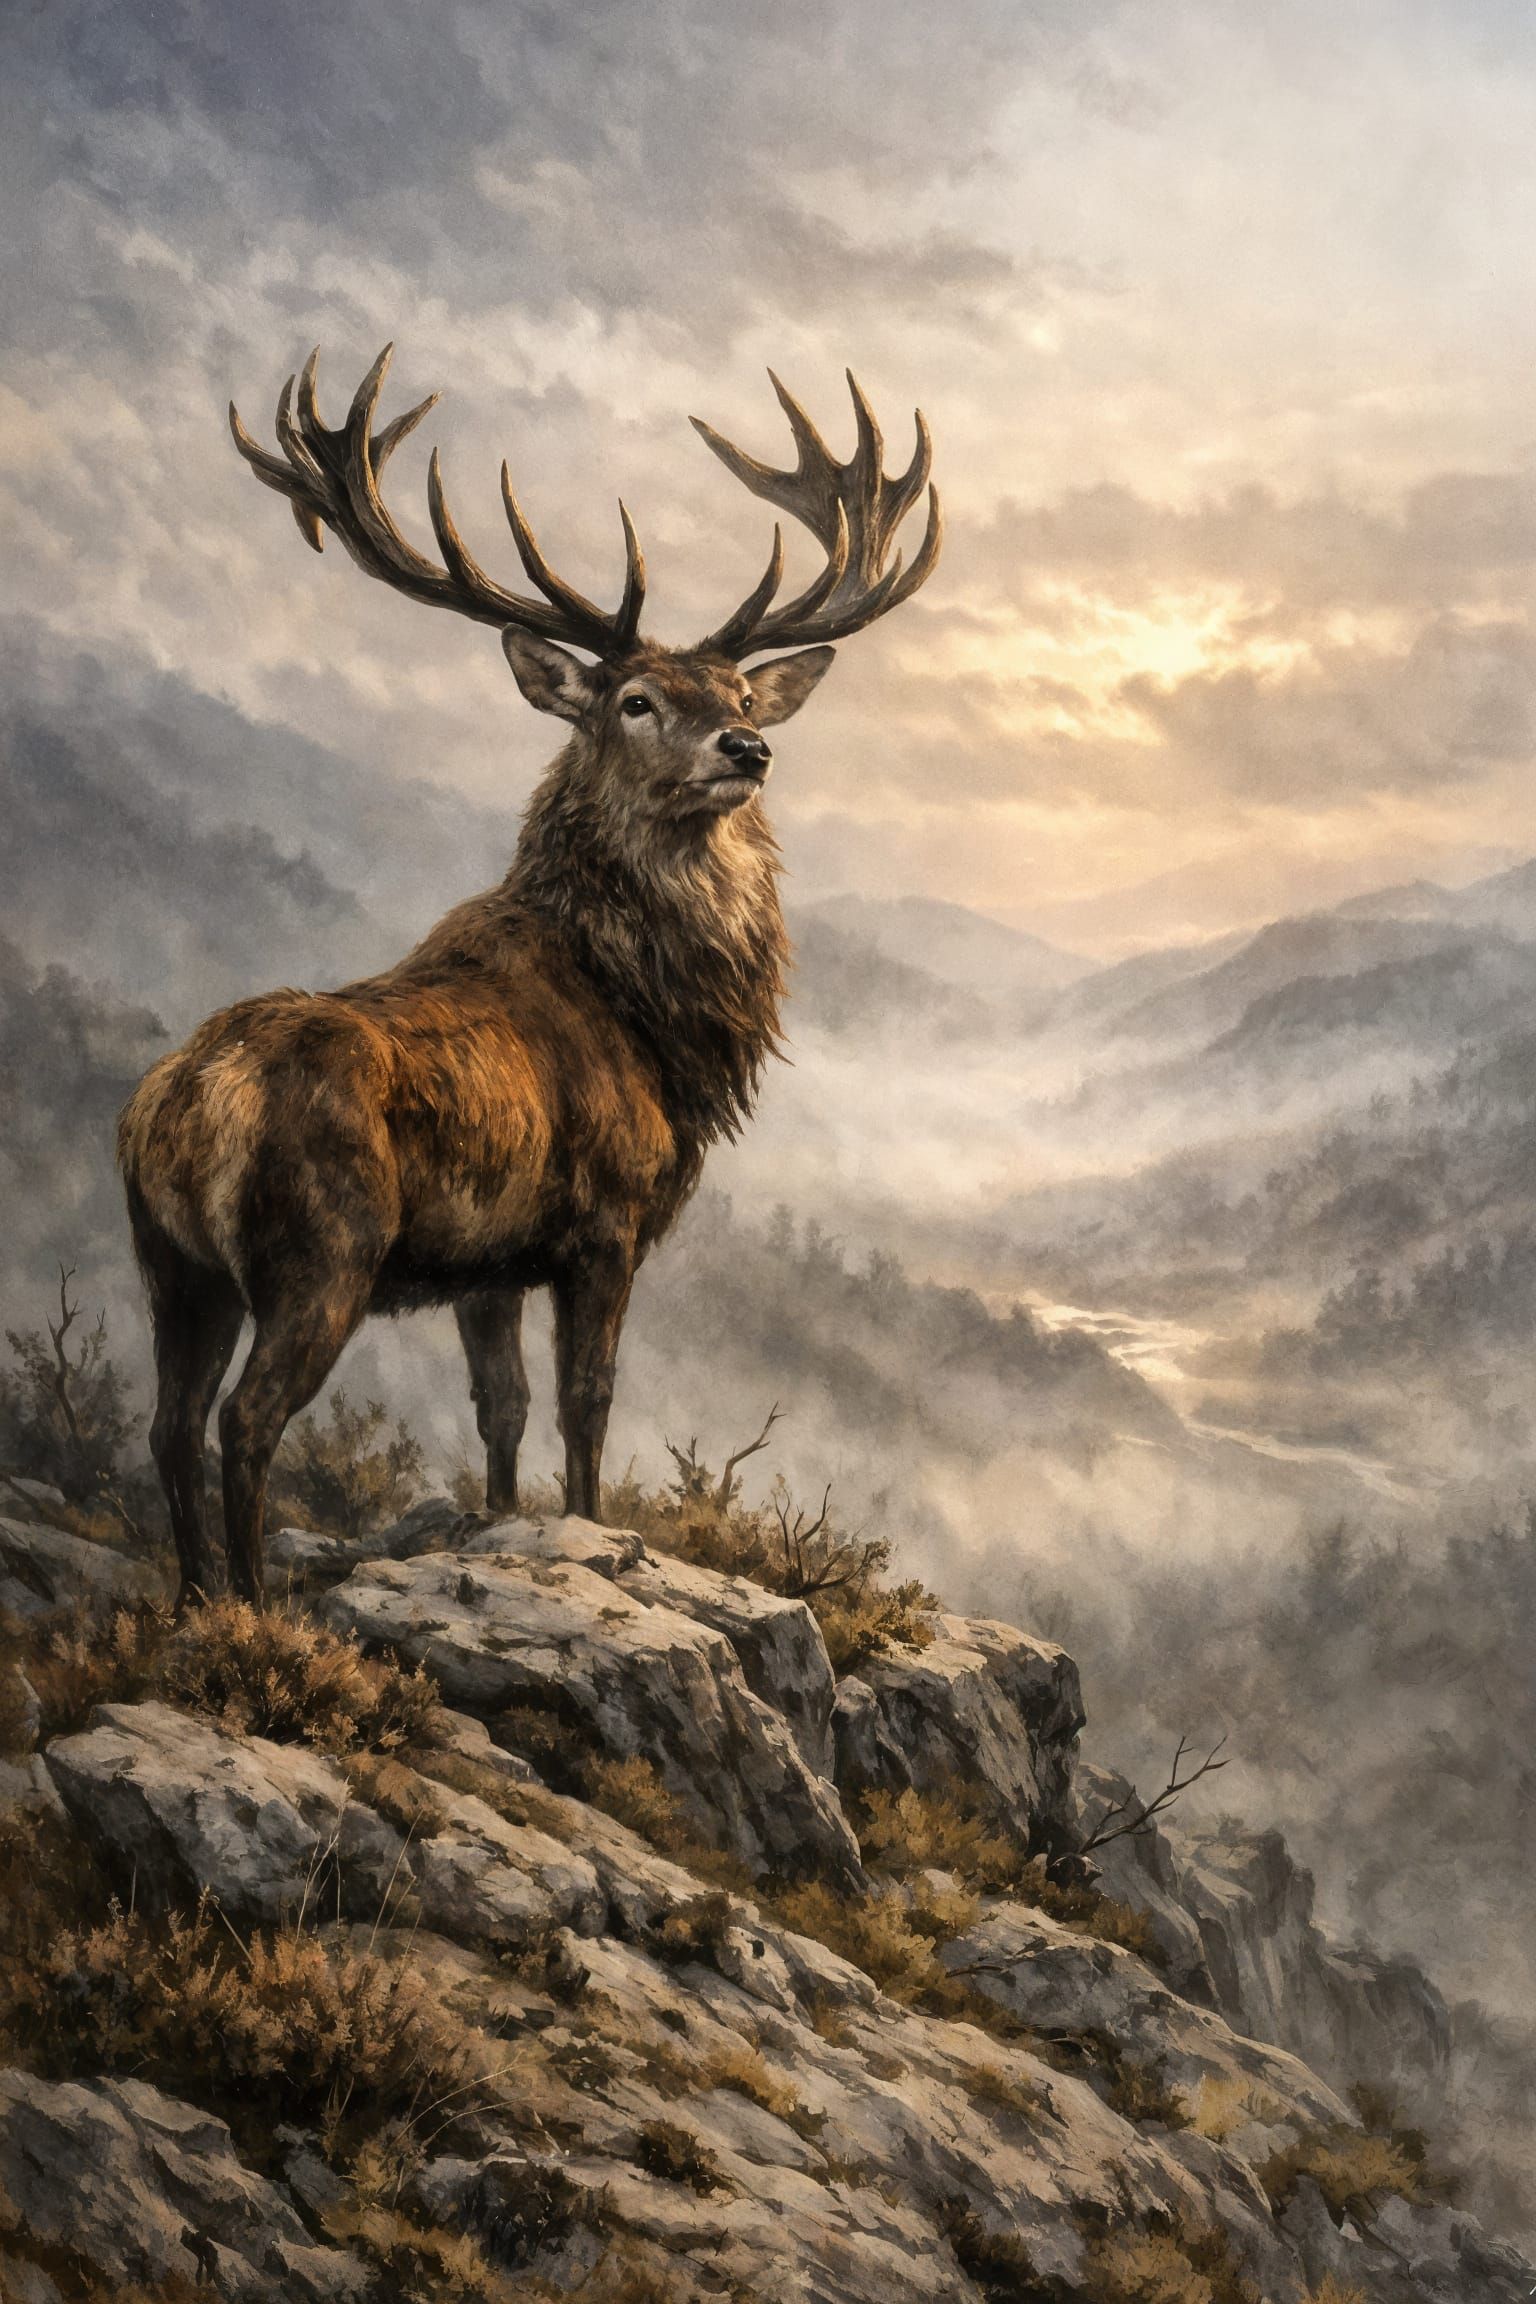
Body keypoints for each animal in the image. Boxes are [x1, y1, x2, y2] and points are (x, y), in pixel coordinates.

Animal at [118, 344, 941, 1607]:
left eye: (739, 696)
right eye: (636, 700)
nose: (748, 749)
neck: (656, 1024)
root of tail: (184, 1106)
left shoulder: (487, 1261)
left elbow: (499, 1411)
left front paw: (500, 1531)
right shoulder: (604, 1219)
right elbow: (585, 1406)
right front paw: (594, 1537)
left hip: (172, 1266)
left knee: (165, 1422)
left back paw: (200, 1598)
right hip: (322, 1249)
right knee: (245, 1422)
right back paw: (254, 1612)